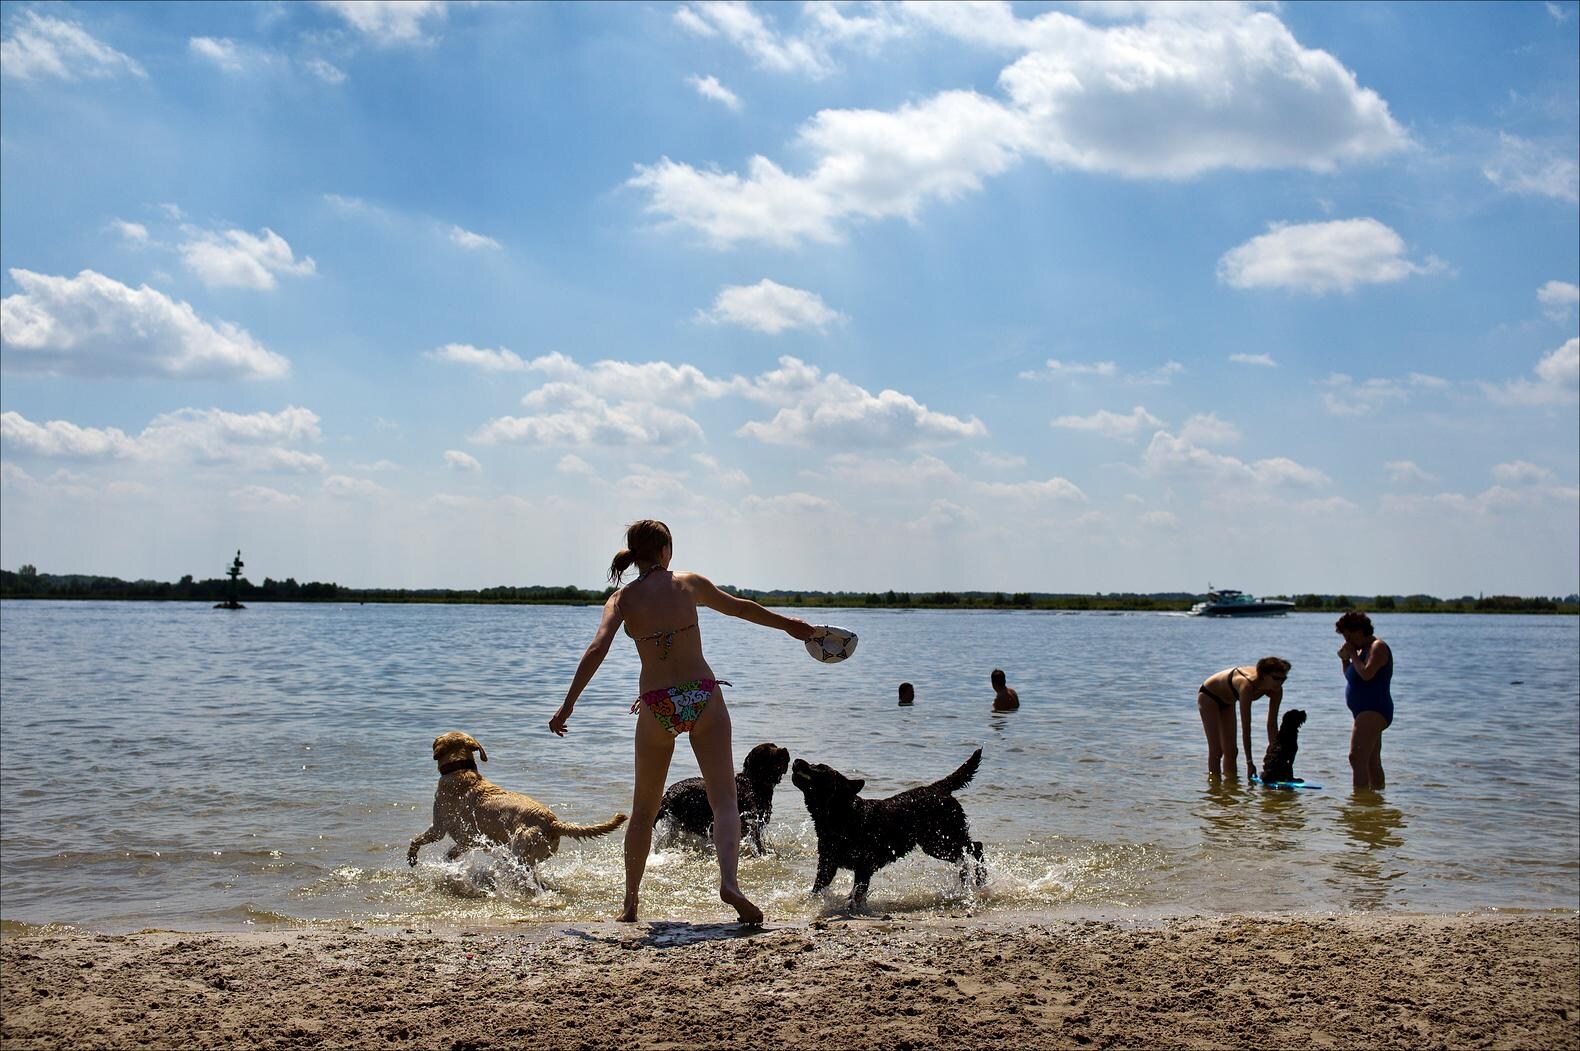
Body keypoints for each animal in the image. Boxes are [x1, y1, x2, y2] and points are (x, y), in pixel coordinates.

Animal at [407, 730, 628, 878]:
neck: (460, 770)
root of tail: (552, 821)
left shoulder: (439, 828)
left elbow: (417, 840)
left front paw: (412, 858)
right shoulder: (468, 841)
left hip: (520, 851)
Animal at [654, 736, 790, 853]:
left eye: (774, 745)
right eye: (768, 750)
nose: (785, 749)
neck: (755, 782)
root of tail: (668, 794)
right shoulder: (749, 822)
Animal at [786, 742, 979, 904]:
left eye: (820, 767)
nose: (796, 760)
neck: (841, 814)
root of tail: (938, 787)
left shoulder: (864, 866)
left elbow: (858, 893)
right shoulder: (827, 864)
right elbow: (817, 888)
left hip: (942, 839)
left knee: (975, 847)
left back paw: (980, 879)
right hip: (936, 845)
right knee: (964, 857)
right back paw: (966, 882)